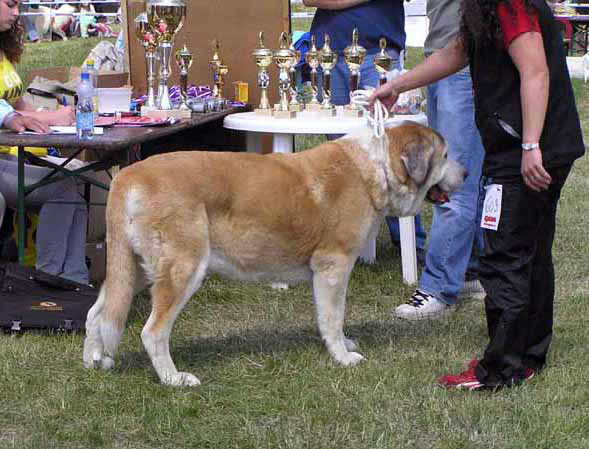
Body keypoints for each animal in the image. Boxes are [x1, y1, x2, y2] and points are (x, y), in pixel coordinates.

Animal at [84, 120, 464, 384]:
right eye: (446, 156)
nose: (468, 172)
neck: (375, 167)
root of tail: (128, 176)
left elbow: (332, 317)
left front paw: (344, 344)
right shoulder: (334, 266)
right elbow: (333, 316)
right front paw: (342, 357)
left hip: (134, 270)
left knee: (98, 313)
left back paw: (96, 361)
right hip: (184, 269)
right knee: (153, 331)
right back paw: (173, 379)